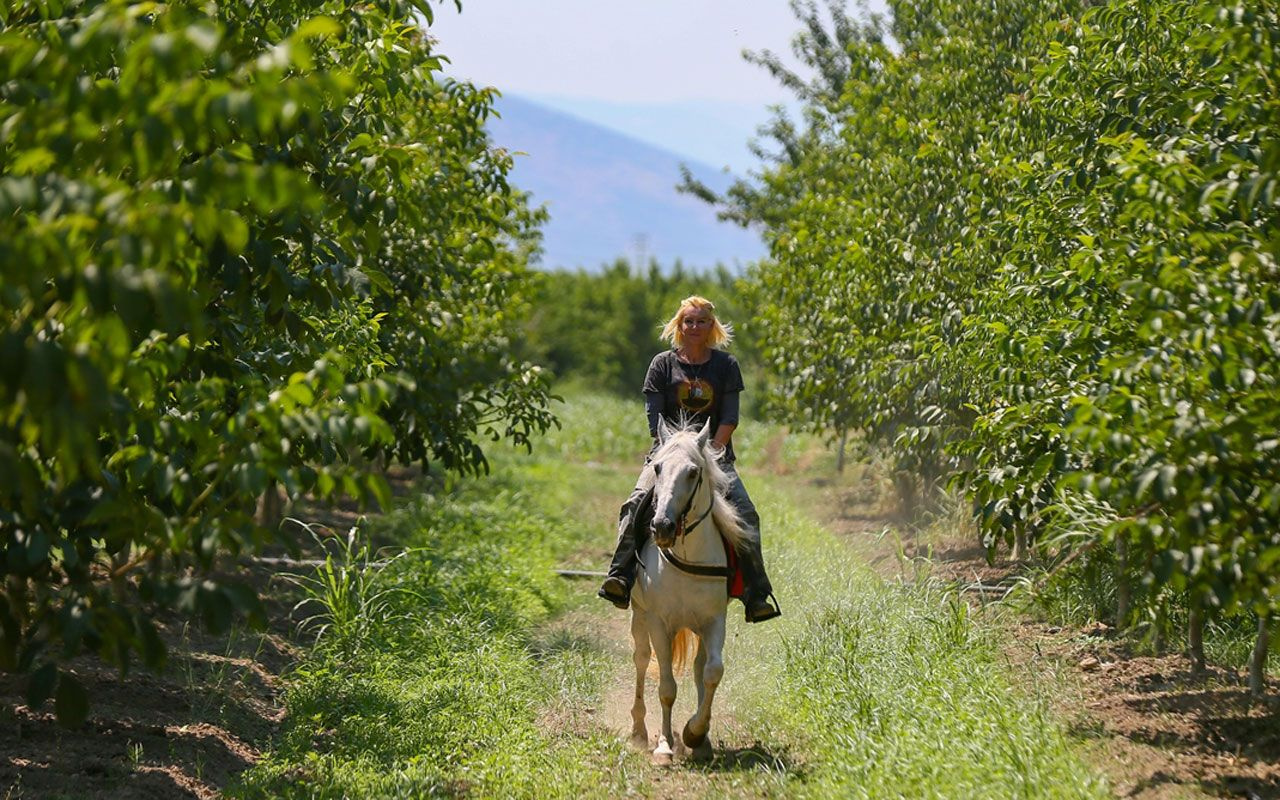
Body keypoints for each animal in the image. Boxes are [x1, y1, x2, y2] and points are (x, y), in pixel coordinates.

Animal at [627, 417, 747, 762]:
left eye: (693, 472)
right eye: (657, 468)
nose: (662, 527)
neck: (685, 557)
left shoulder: (714, 621)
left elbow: (712, 672)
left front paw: (696, 733)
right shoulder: (658, 622)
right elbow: (667, 687)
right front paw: (665, 744)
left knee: (698, 668)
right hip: (639, 616)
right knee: (641, 659)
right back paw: (639, 730)